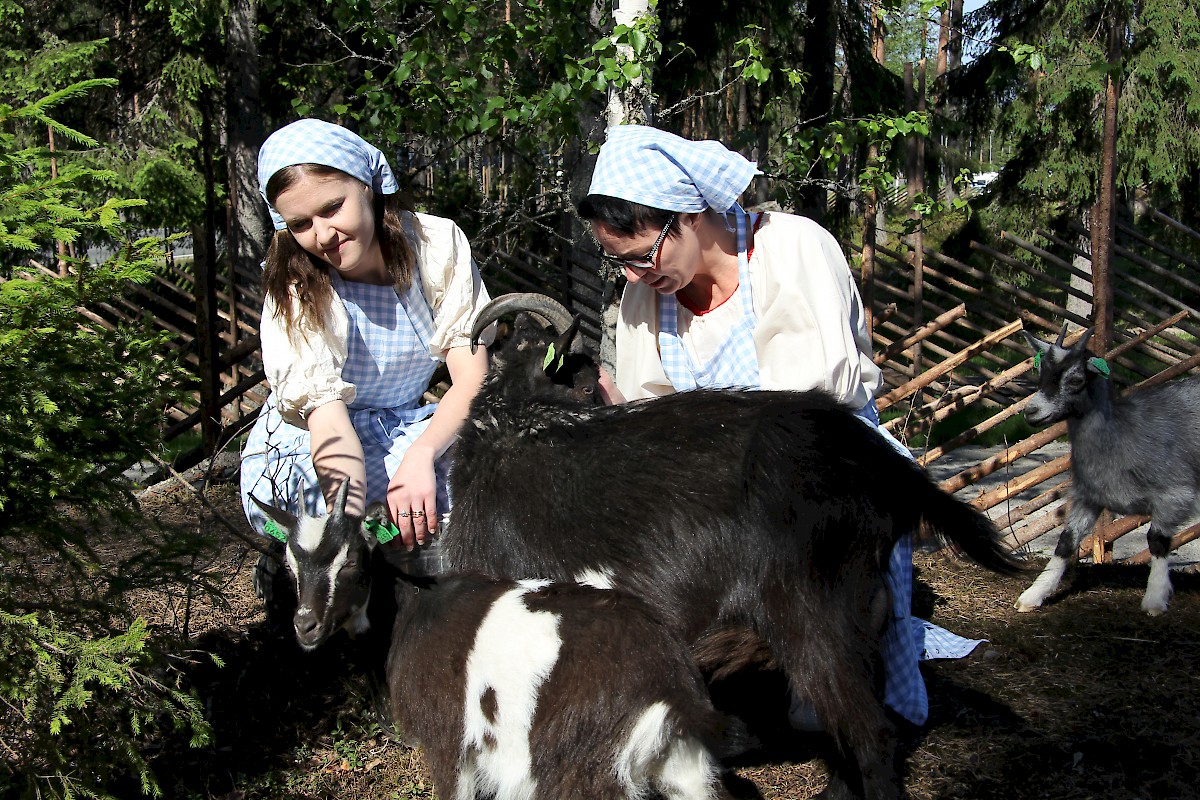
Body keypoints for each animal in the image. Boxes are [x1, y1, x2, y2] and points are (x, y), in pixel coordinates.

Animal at [441, 293, 1022, 800]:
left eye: (588, 388)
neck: (511, 424)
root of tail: (882, 465)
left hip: (814, 619)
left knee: (872, 735)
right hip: (857, 616)